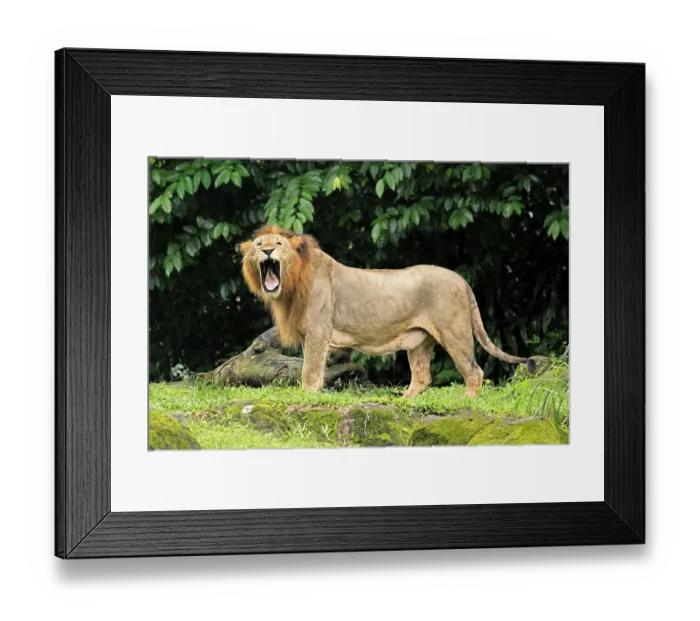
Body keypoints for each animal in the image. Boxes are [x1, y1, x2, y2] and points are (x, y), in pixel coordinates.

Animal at [240, 225, 535, 398]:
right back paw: (405, 403)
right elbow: (312, 369)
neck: (292, 284)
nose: (267, 250)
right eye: (258, 245)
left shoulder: (317, 332)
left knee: (474, 372)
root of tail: (462, 280)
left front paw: (307, 398)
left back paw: (467, 403)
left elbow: (310, 372)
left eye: (278, 244)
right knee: (423, 377)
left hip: (455, 333)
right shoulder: (307, 336)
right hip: (420, 341)